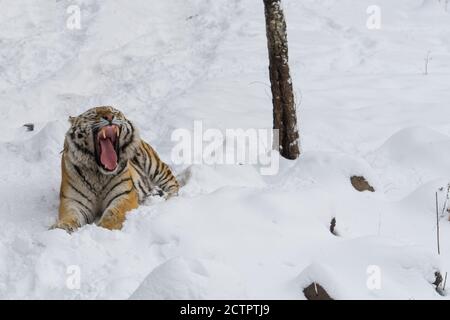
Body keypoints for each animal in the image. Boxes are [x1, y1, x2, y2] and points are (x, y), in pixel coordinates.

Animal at [51, 105, 179, 232]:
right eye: (93, 115)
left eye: (114, 112)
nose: (110, 117)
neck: (98, 174)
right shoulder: (72, 201)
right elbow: (70, 215)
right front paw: (61, 227)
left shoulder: (124, 195)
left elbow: (113, 215)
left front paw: (103, 229)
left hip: (154, 164)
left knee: (173, 183)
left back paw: (168, 198)